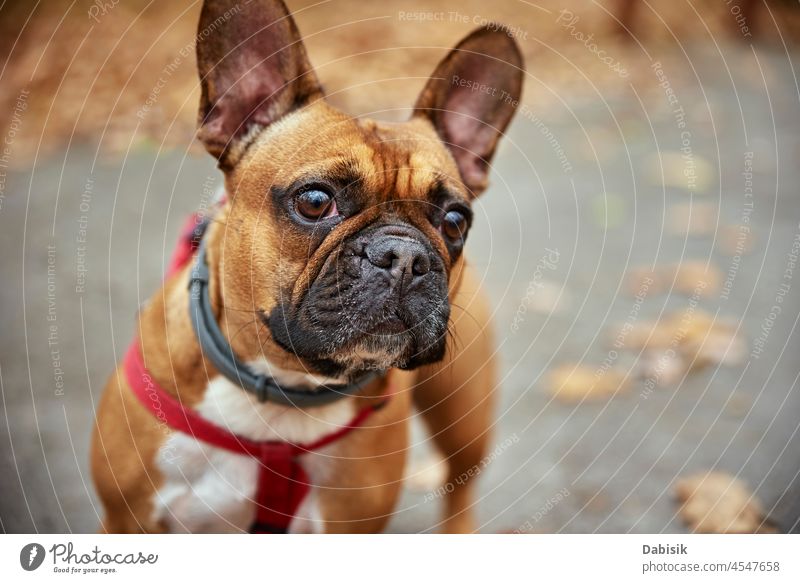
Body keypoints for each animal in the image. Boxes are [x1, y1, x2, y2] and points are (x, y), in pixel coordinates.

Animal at [90, 0, 520, 532]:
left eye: (456, 221)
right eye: (315, 201)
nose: (405, 256)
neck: (283, 397)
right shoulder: (126, 517)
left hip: (463, 413)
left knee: (461, 484)